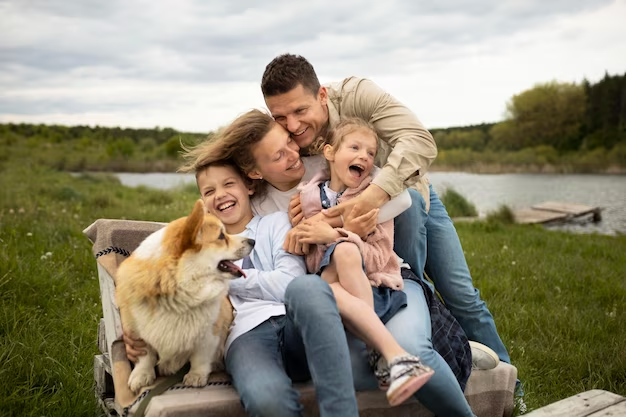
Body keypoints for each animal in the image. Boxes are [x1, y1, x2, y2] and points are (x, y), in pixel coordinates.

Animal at [116, 200, 252, 392]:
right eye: (221, 236)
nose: (253, 241)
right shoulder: (137, 332)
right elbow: (146, 356)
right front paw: (141, 376)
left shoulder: (210, 333)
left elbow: (200, 357)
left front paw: (196, 375)